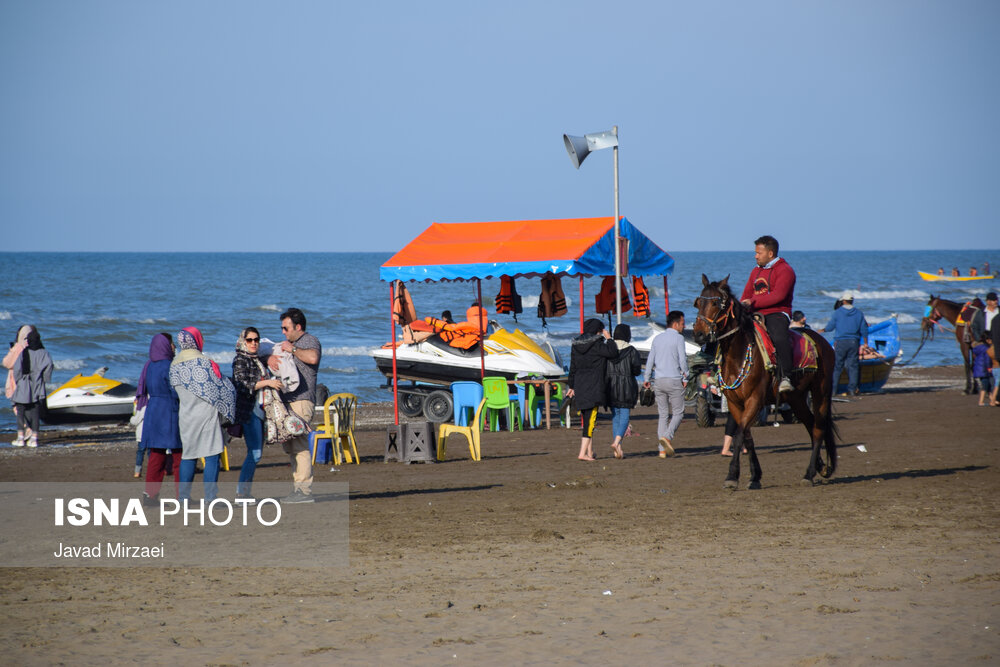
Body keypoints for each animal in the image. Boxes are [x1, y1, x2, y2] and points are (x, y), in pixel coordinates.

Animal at [692, 276, 840, 490]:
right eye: (698, 303)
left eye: (715, 303)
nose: (699, 334)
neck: (738, 354)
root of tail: (823, 343)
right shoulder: (735, 403)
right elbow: (747, 437)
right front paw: (755, 476)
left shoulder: (754, 400)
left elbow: (739, 435)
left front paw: (732, 476)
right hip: (796, 398)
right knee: (810, 425)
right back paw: (819, 467)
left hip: (821, 392)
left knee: (819, 428)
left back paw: (809, 473)